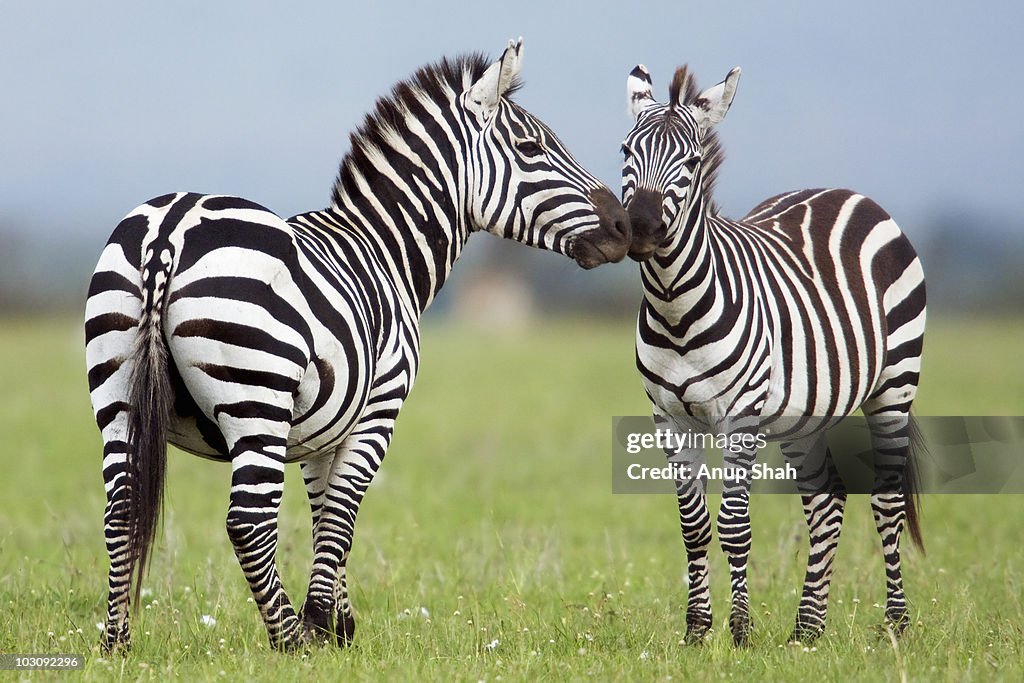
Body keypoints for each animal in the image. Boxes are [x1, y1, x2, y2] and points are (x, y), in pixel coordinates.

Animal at [86, 40, 630, 655]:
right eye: (532, 148)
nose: (624, 225)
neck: (385, 249)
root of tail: (171, 228)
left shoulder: (321, 427)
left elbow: (324, 511)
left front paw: (337, 625)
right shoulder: (378, 411)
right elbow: (343, 513)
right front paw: (321, 624)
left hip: (117, 393)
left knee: (121, 510)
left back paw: (117, 644)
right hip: (256, 401)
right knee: (248, 519)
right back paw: (288, 641)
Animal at [614, 63, 929, 647]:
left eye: (691, 161)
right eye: (626, 150)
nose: (642, 229)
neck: (675, 308)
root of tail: (844, 191)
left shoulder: (739, 417)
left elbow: (734, 525)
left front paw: (739, 631)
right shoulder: (668, 419)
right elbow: (693, 527)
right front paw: (697, 632)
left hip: (895, 383)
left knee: (887, 500)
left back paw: (896, 624)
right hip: (802, 415)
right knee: (827, 500)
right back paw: (807, 629)